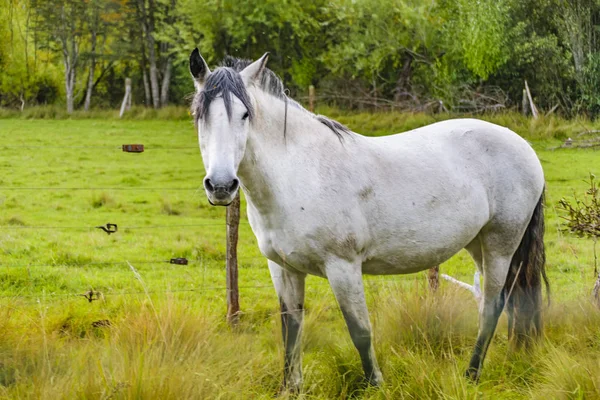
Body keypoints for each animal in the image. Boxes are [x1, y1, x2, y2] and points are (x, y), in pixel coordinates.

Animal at [188, 50, 548, 390]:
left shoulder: (343, 267)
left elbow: (360, 331)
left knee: (492, 306)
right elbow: (291, 330)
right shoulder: (283, 268)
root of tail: (524, 146)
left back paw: (471, 375)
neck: (301, 171)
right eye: (198, 115)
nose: (221, 186)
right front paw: (291, 389)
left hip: (500, 245)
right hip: (478, 245)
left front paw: (376, 385)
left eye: (245, 114)